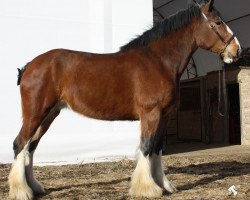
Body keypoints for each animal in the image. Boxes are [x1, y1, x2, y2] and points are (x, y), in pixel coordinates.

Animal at [8, 0, 241, 199]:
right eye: (218, 22)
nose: (236, 50)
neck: (158, 61)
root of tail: (30, 65)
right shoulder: (151, 114)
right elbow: (146, 147)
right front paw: (148, 188)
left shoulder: (164, 117)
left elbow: (156, 149)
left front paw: (164, 185)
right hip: (36, 113)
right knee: (20, 143)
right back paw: (21, 191)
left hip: (48, 114)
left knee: (30, 147)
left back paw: (34, 187)